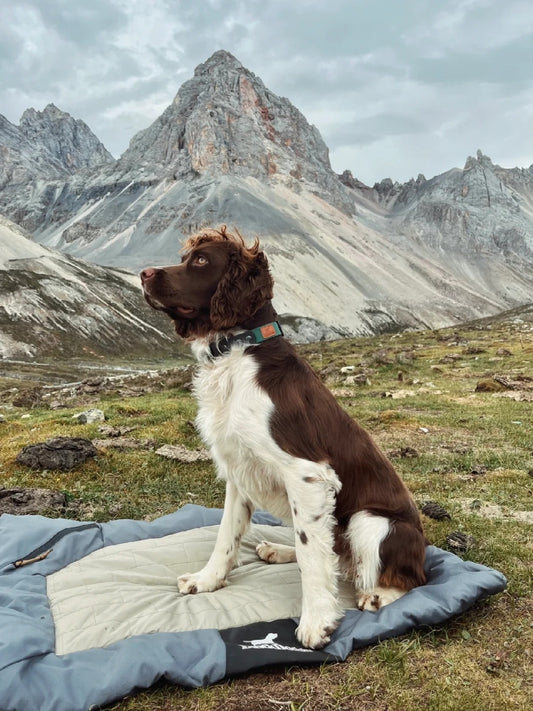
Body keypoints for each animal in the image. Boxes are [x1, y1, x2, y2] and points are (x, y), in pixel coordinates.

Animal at [140, 228, 424, 652]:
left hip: (371, 521)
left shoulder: (307, 474)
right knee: (333, 554)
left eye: (202, 260)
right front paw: (207, 580)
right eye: (185, 256)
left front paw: (317, 622)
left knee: (406, 578)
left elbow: (312, 559)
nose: (143, 274)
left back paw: (377, 594)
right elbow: (226, 536)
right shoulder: (239, 472)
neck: (238, 352)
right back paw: (277, 550)